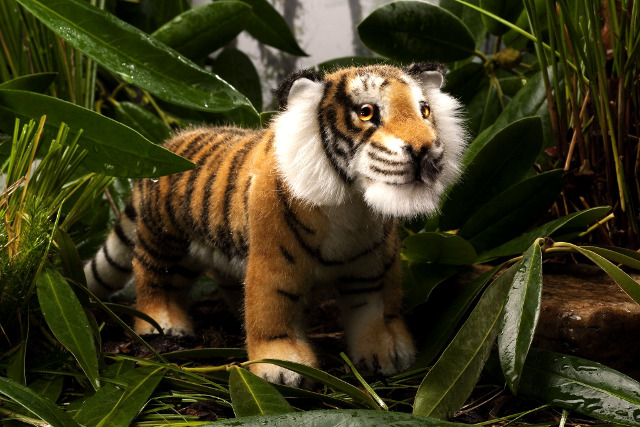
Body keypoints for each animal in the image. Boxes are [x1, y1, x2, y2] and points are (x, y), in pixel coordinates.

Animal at [84, 63, 467, 387]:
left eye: (425, 110)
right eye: (367, 112)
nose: (424, 150)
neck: (352, 203)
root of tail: (167, 143)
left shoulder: (372, 266)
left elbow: (375, 308)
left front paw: (386, 352)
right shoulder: (275, 261)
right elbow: (272, 309)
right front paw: (282, 365)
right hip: (163, 239)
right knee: (153, 277)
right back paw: (164, 323)